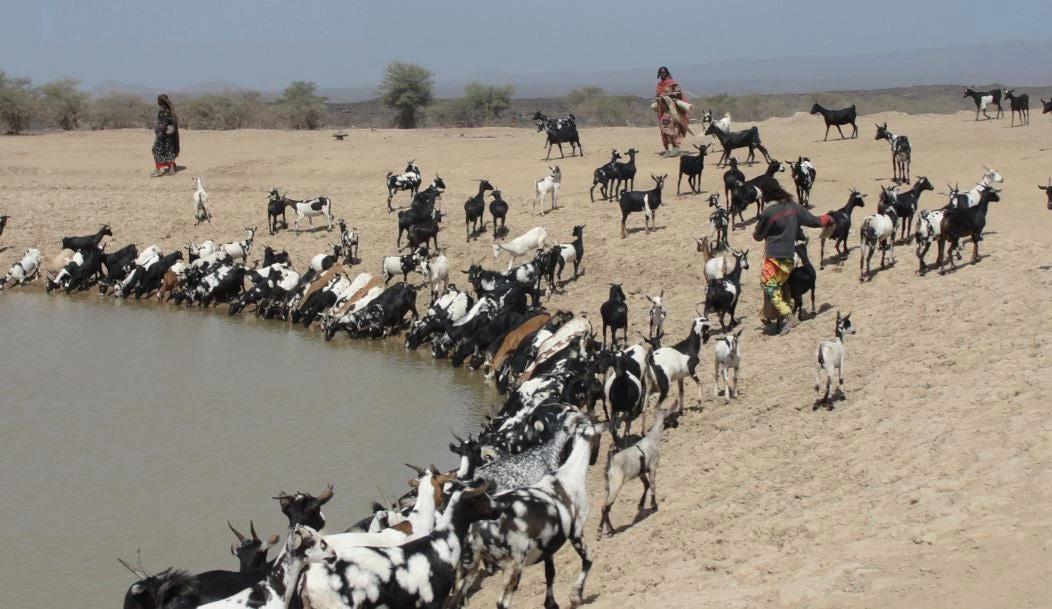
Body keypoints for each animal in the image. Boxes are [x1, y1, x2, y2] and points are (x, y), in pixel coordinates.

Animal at [597, 406, 677, 538]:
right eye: (671, 417)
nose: (677, 423)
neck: (652, 439)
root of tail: (610, 462)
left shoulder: (642, 472)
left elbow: (646, 485)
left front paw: (641, 503)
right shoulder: (653, 467)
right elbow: (653, 485)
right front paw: (653, 506)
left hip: (608, 488)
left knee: (606, 507)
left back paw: (610, 529)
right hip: (615, 486)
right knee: (605, 507)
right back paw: (601, 531)